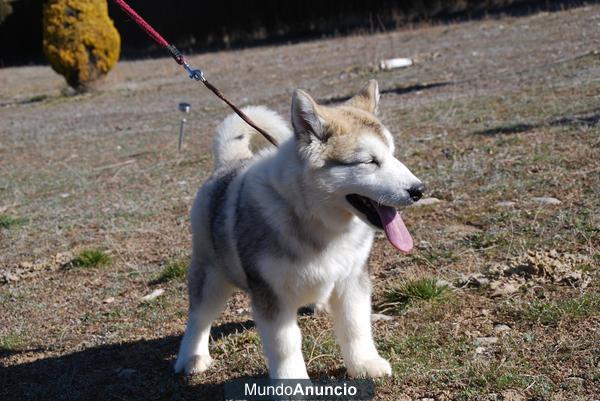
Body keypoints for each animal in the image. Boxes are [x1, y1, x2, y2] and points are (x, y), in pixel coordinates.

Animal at [176, 79, 424, 378]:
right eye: (369, 161)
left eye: (393, 154)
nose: (419, 190)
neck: (316, 221)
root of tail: (230, 163)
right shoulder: (272, 295)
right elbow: (285, 344)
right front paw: (292, 381)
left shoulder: (353, 279)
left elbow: (355, 325)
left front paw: (364, 363)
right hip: (210, 273)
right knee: (199, 316)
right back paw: (192, 356)